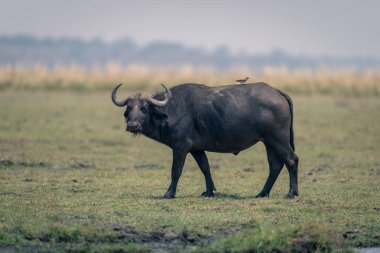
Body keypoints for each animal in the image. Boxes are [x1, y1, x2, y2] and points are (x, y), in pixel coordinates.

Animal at [111, 82, 298, 199]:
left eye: (144, 108)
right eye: (129, 107)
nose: (132, 125)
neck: (171, 110)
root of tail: (276, 91)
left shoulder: (180, 147)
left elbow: (176, 170)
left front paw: (169, 193)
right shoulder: (196, 149)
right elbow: (205, 167)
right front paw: (209, 191)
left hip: (278, 140)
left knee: (291, 160)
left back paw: (291, 193)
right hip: (268, 142)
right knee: (275, 166)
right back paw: (262, 193)